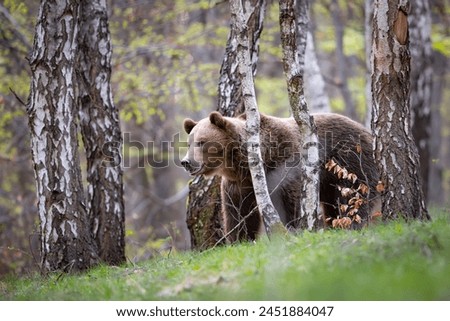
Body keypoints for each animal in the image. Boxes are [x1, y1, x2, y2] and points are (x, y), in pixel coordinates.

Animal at [181, 111, 378, 241]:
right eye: (189, 143)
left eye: (201, 142)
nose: (186, 162)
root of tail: (366, 130)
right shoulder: (238, 184)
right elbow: (237, 212)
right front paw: (239, 239)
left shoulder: (285, 165)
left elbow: (290, 201)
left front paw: (293, 229)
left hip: (350, 159)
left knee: (353, 194)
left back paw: (351, 224)